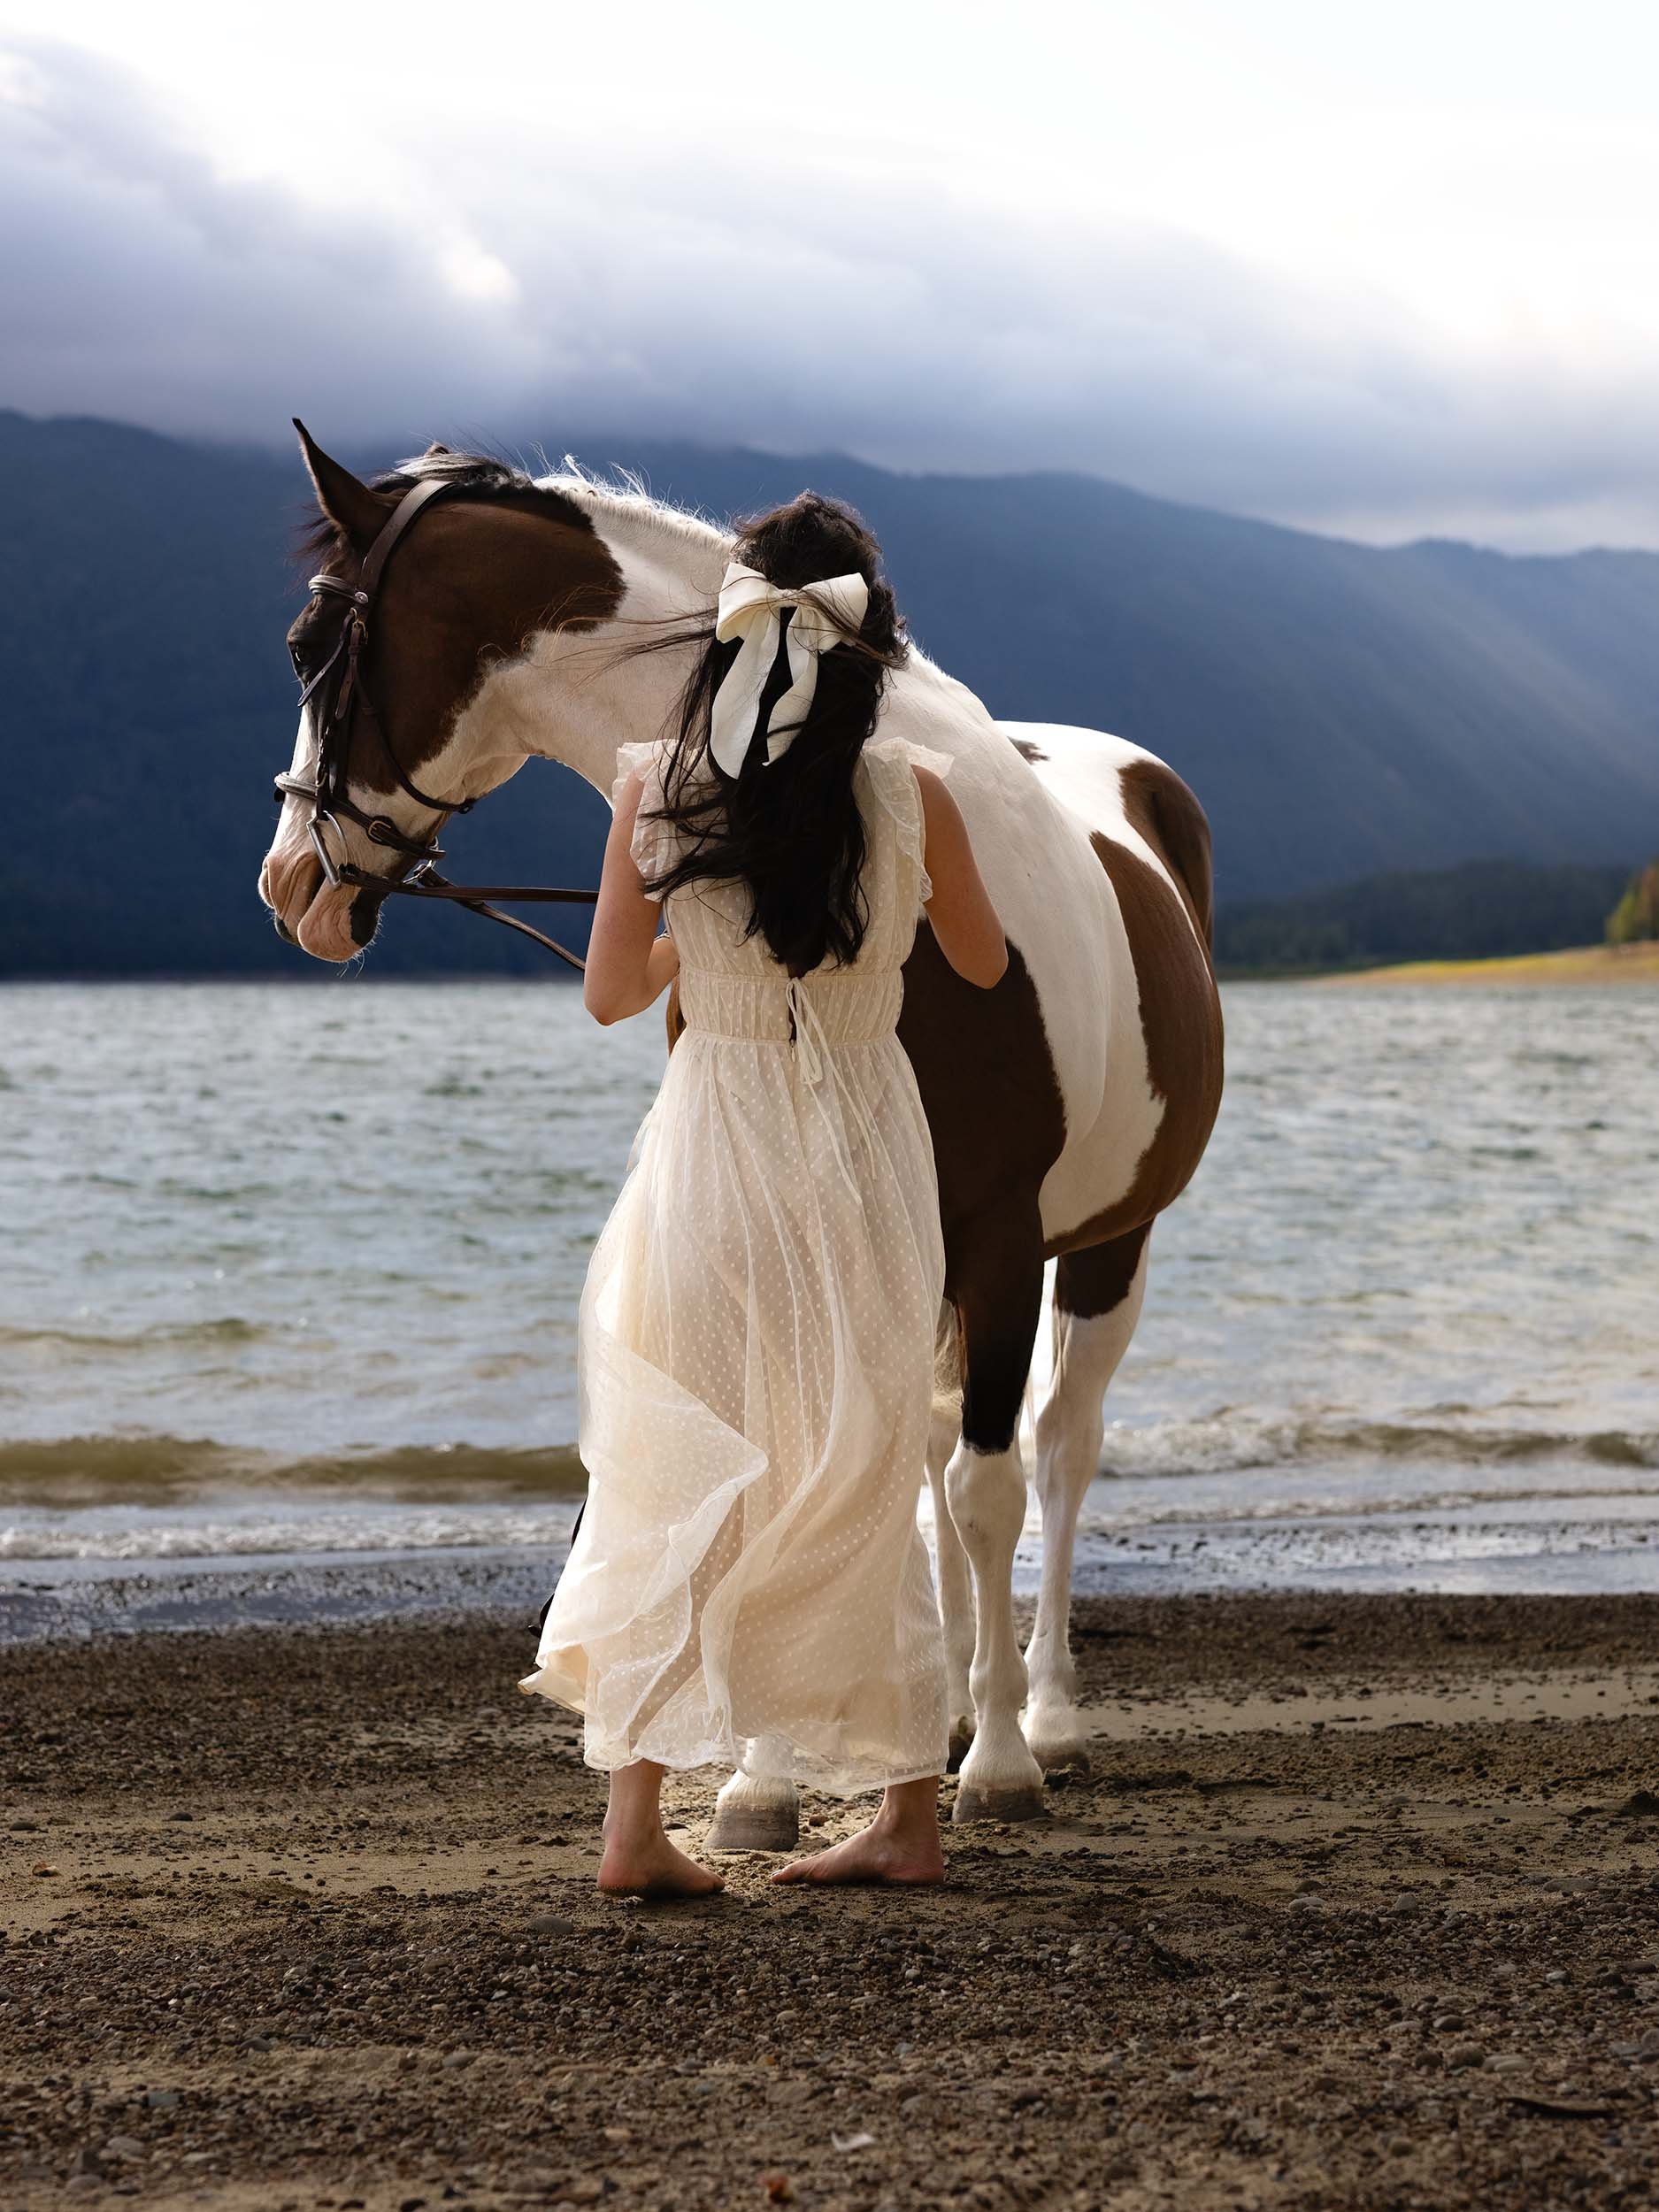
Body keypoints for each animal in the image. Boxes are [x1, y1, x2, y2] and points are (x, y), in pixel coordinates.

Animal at [259, 428, 1224, 1842]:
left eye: (308, 642)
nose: (292, 887)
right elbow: (800, 1471)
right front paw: (769, 1775)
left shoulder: (1001, 1245)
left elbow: (990, 1489)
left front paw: (997, 1761)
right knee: (922, 1453)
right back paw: (935, 1698)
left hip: (1107, 1247)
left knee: (1054, 1455)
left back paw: (1035, 1710)